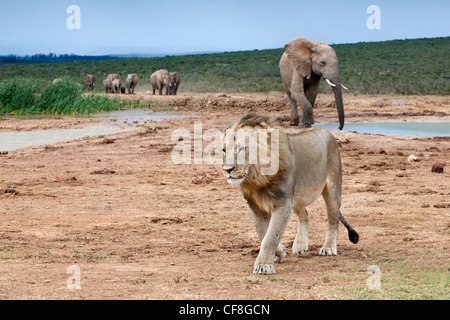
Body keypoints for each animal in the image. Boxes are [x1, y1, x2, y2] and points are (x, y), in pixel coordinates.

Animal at [221, 114, 358, 274]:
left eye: (242, 149)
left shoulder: (283, 204)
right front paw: (279, 252)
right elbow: (263, 233)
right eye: (224, 150)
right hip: (297, 197)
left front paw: (264, 266)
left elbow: (271, 236)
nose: (227, 170)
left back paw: (328, 247)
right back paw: (300, 245)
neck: (257, 179)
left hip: (332, 189)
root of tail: (327, 132)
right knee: (305, 214)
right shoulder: (255, 206)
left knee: (333, 219)